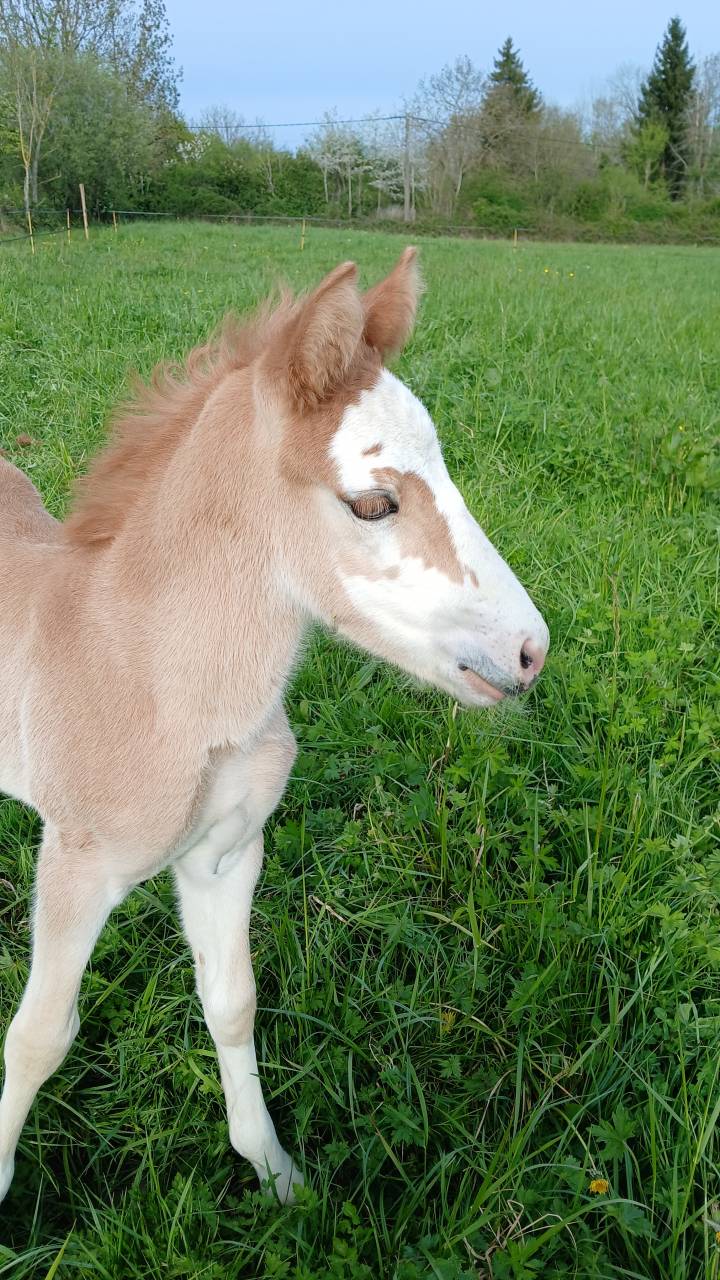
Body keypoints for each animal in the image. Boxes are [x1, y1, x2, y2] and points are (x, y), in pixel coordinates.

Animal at [0, 247, 548, 1204]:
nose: (529, 651)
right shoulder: (76, 865)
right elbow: (36, 1038)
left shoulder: (225, 853)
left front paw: (275, 1172)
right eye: (372, 504)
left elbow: (232, 1002)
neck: (152, 677)